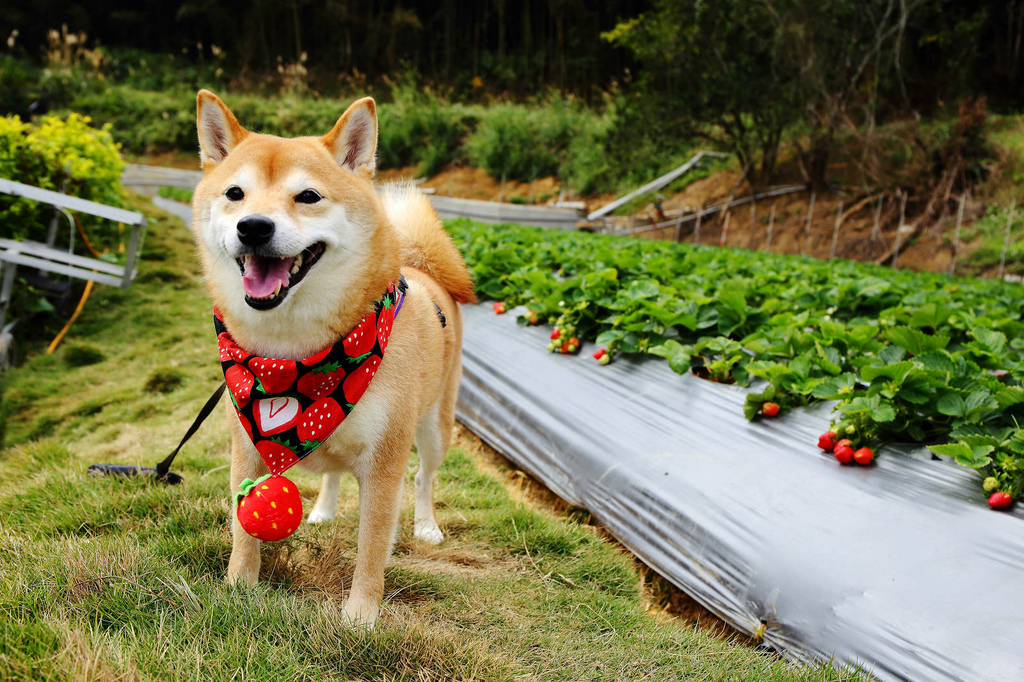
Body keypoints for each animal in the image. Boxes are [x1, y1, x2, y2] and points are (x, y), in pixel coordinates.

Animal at [191, 90, 471, 626]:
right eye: (235, 194)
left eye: (308, 197)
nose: (252, 227)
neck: (295, 356)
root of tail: (423, 269)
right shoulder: (247, 443)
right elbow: (242, 531)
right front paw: (239, 586)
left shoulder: (384, 464)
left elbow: (372, 547)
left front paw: (361, 616)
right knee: (334, 470)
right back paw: (322, 509)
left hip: (434, 428)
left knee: (425, 478)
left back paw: (426, 525)